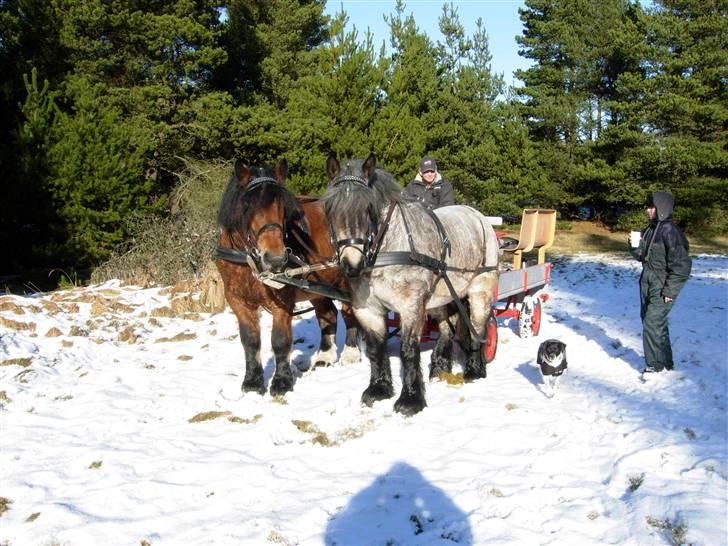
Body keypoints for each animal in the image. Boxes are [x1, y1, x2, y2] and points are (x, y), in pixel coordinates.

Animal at [216, 158, 362, 396]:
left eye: (283, 208)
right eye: (247, 206)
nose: (276, 259)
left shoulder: (282, 299)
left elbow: (280, 340)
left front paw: (282, 382)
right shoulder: (237, 300)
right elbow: (250, 340)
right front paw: (253, 382)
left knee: (349, 312)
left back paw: (351, 353)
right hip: (318, 287)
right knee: (328, 315)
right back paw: (325, 356)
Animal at [326, 151, 500, 414]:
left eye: (369, 209)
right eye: (329, 209)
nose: (351, 265)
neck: (385, 251)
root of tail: (478, 216)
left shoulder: (410, 306)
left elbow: (408, 349)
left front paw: (410, 399)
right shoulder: (368, 309)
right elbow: (377, 348)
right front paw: (379, 389)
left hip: (480, 290)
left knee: (477, 328)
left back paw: (474, 369)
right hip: (441, 296)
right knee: (447, 329)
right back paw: (439, 368)